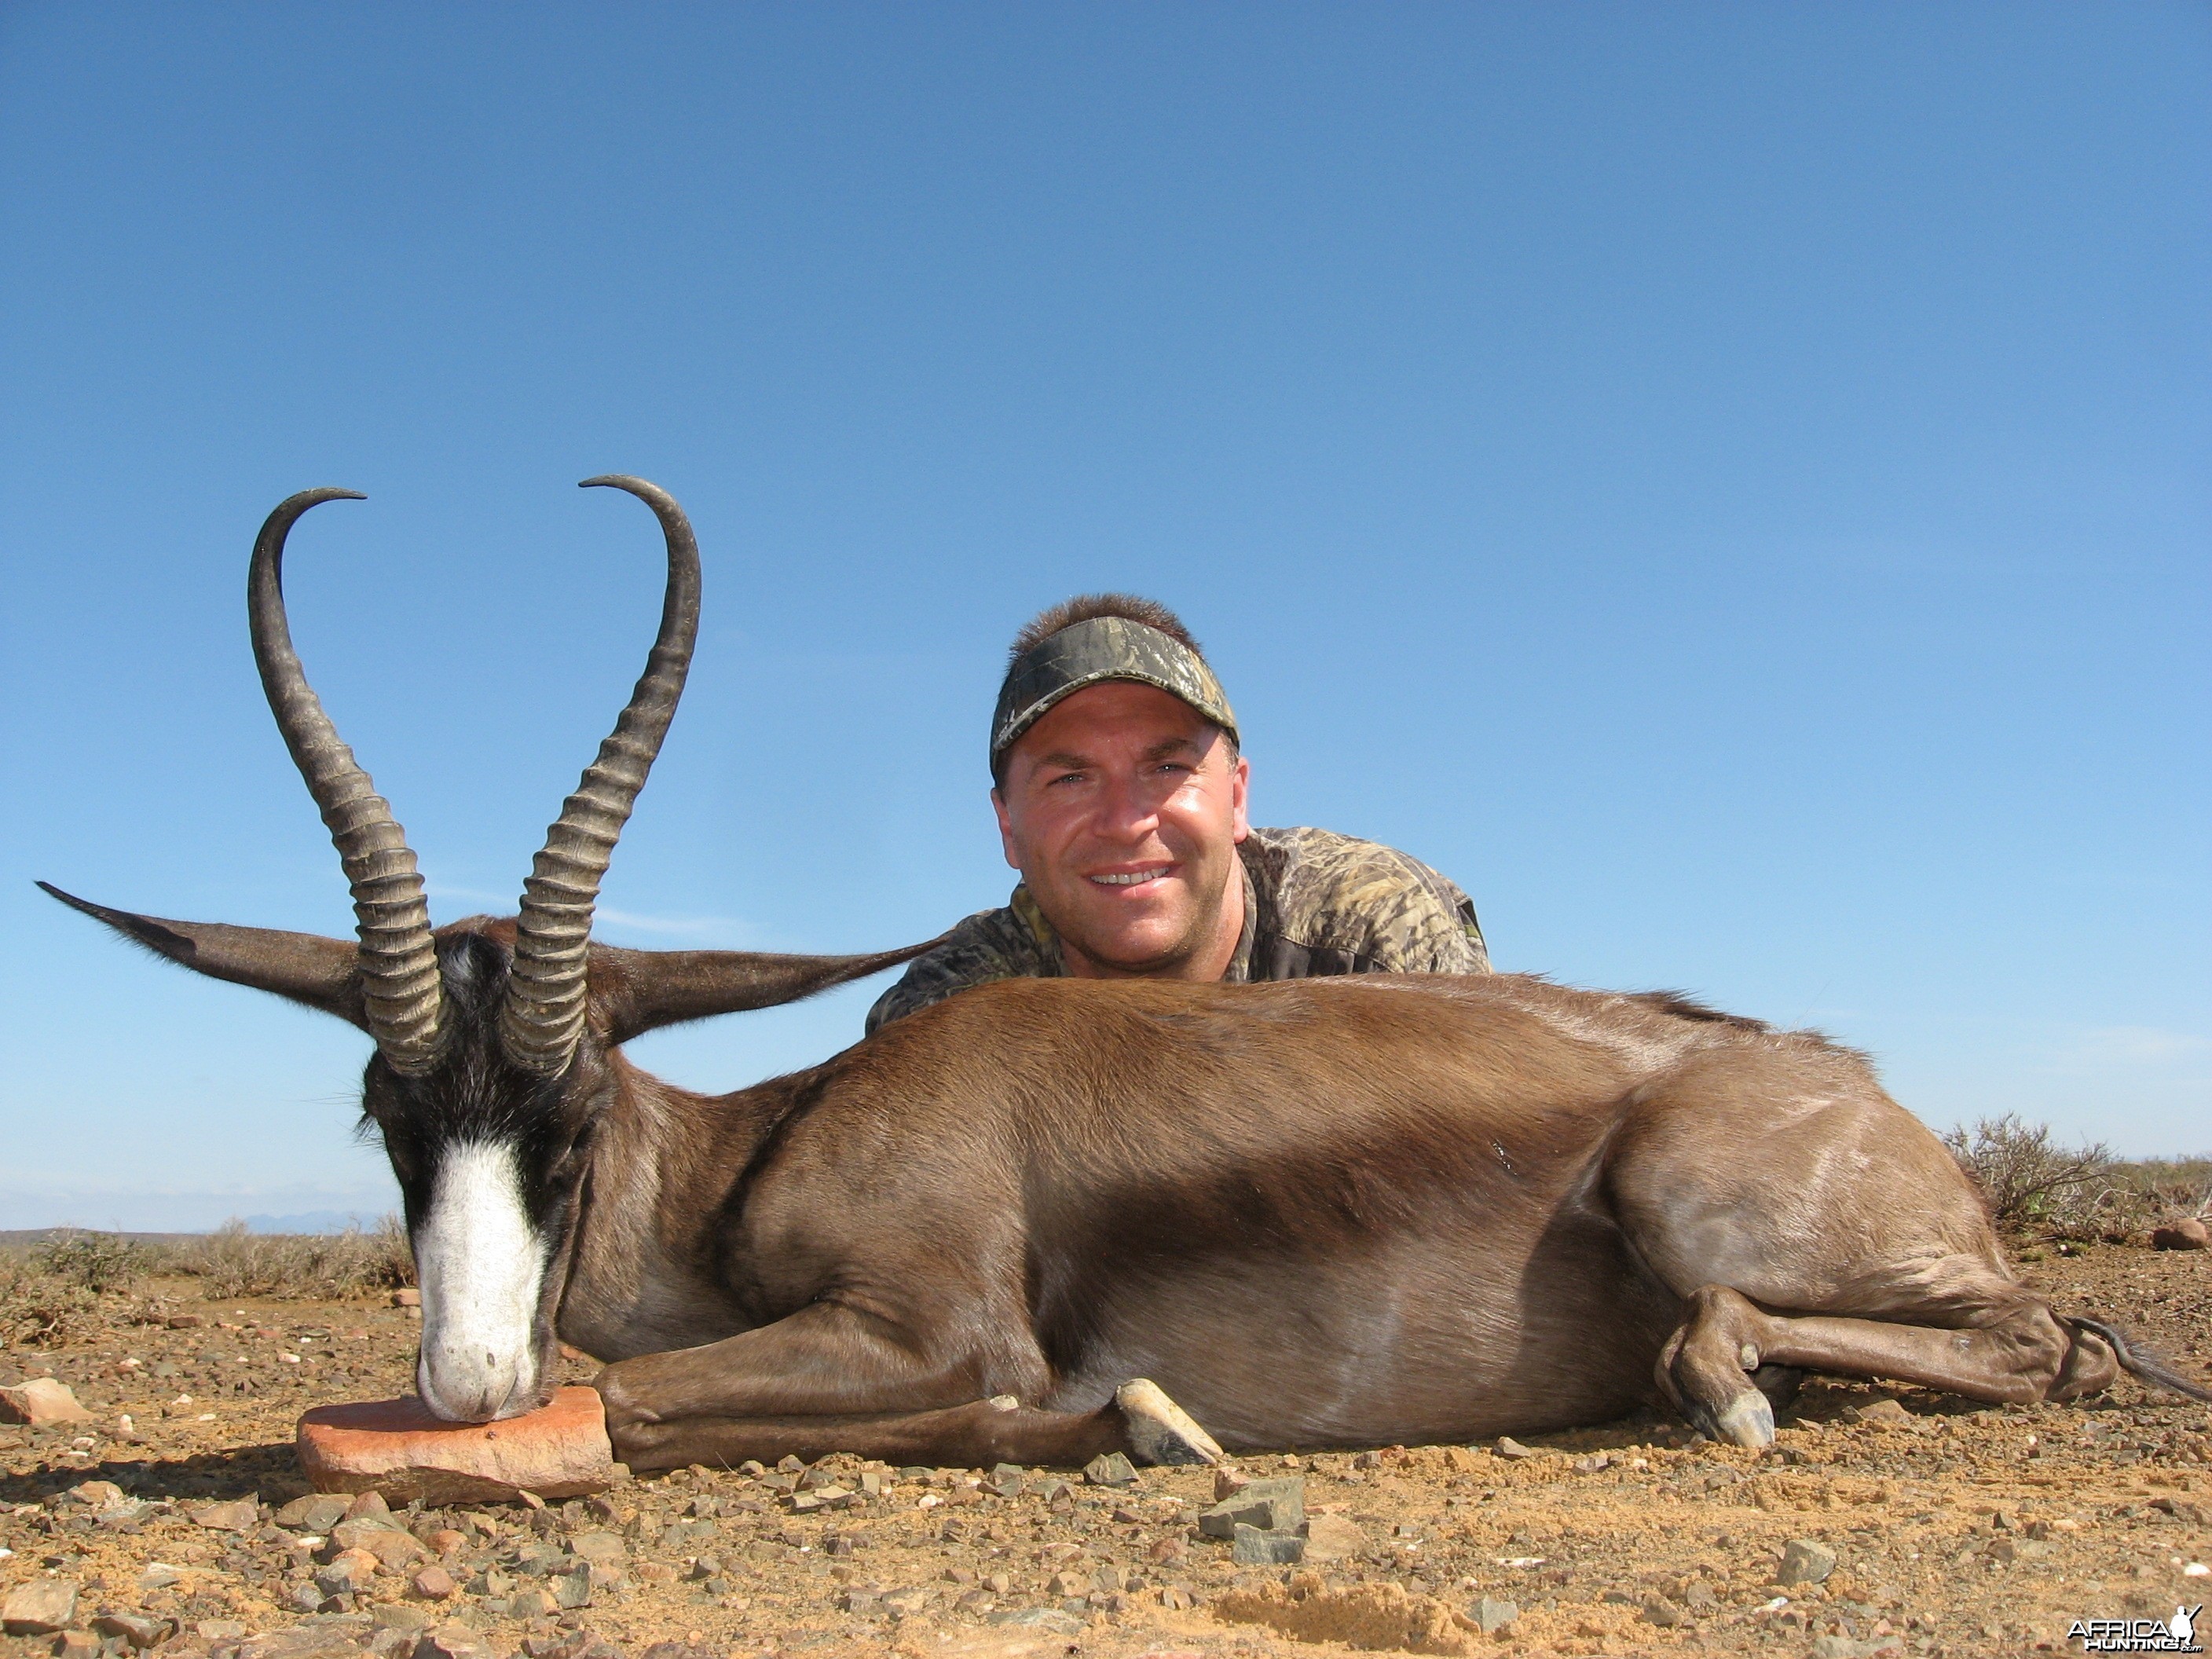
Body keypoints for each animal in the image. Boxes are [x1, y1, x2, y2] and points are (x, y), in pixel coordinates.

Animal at [38, 478, 2212, 1468]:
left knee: (2026, 1341)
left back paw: (1740, 1390)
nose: (466, 1370)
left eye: (563, 1111)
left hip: (1711, 1210)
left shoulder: (932, 1325)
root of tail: (1861, 1093)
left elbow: (630, 1403)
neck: (772, 1146)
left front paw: (1134, 1419)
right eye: (389, 1110)